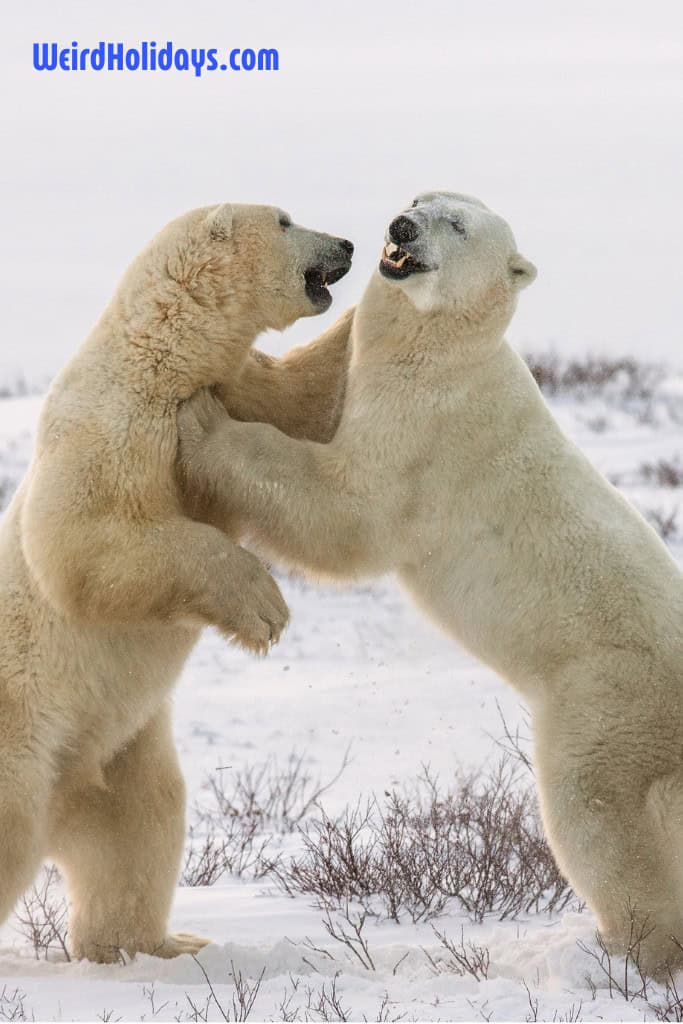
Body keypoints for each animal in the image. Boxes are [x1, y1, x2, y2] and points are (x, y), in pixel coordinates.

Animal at [0, 203, 352, 962]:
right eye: (285, 219)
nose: (344, 243)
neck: (163, 358)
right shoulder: (113, 426)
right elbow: (88, 544)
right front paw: (264, 607)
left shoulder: (237, 386)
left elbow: (307, 403)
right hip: (20, 737)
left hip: (117, 755)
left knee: (139, 828)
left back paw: (159, 945)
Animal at [180, 193, 683, 983]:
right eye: (420, 200)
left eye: (459, 225)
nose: (400, 228)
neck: (451, 350)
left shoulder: (427, 433)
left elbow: (347, 509)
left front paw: (201, 420)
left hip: (606, 703)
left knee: (595, 814)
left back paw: (633, 951)